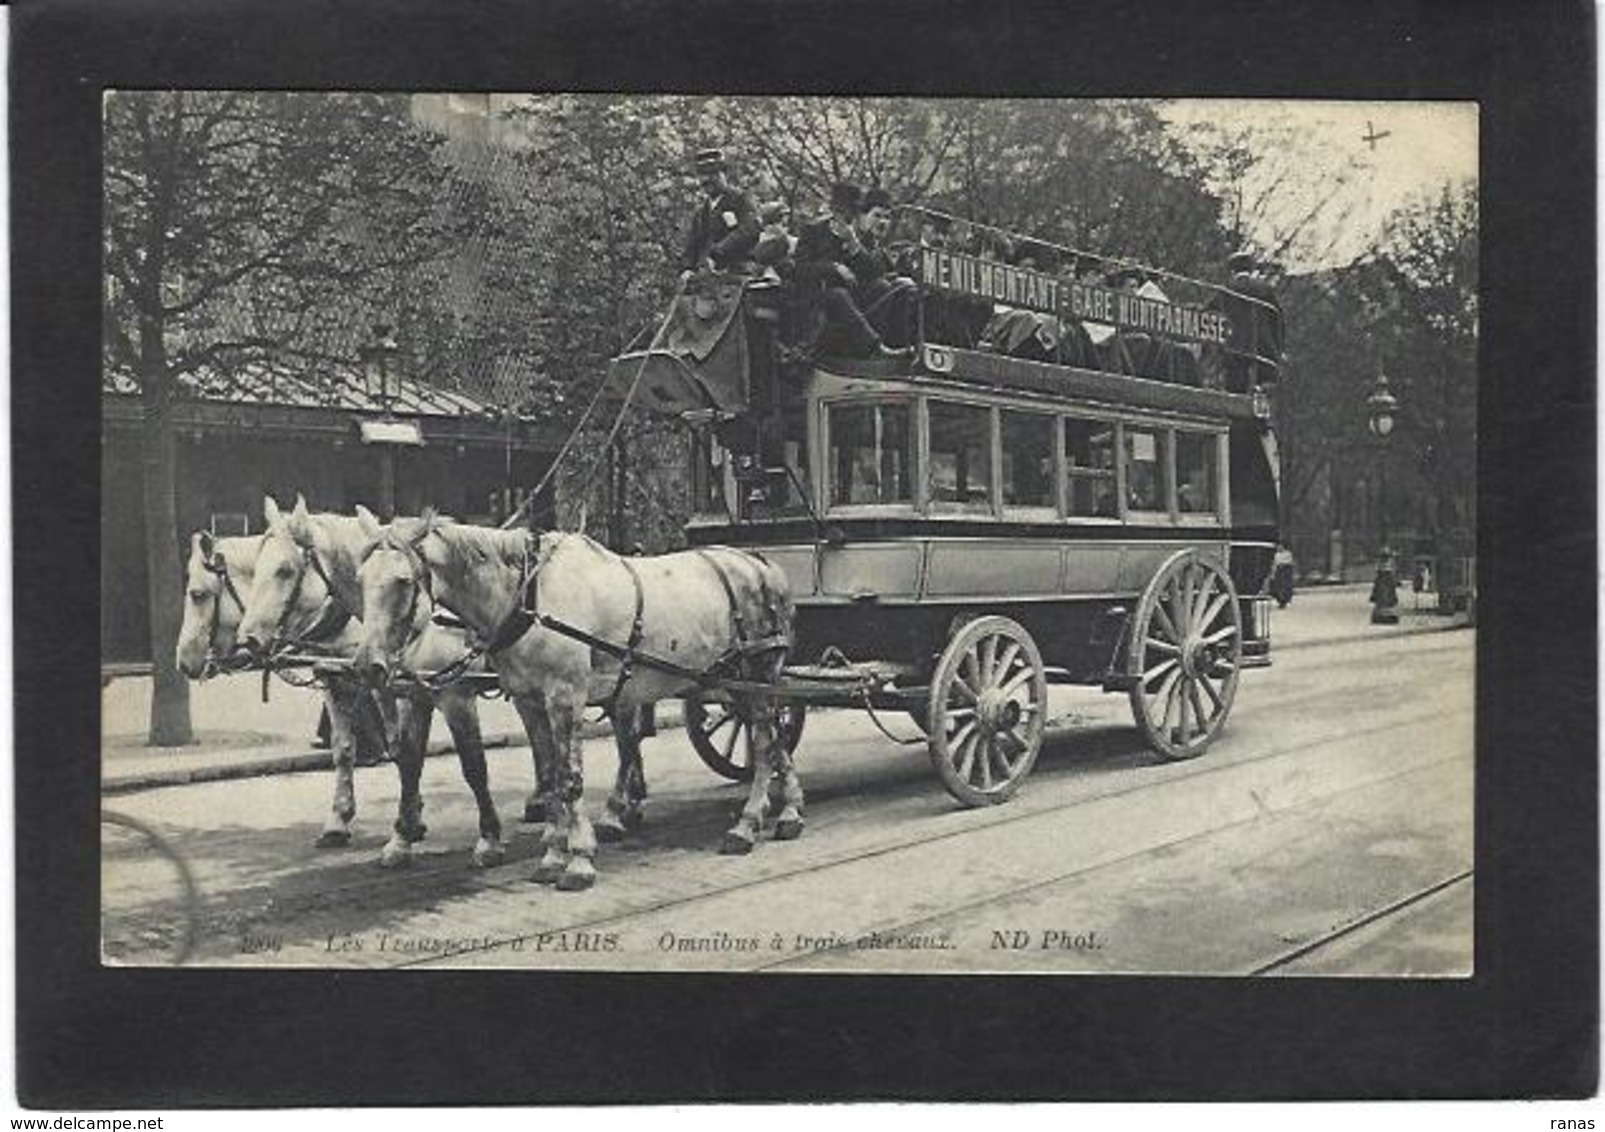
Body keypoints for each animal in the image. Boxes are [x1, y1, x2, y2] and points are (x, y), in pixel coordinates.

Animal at [231, 494, 507, 867]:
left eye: (285, 570)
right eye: (256, 568)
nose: (247, 639)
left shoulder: (455, 696)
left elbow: (473, 764)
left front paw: (487, 840)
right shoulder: (401, 693)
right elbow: (397, 758)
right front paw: (393, 832)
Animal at [354, 513, 799, 892]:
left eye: (403, 581)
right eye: (360, 578)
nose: (368, 666)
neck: (529, 598)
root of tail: (761, 564)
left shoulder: (559, 698)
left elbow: (564, 779)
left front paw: (578, 859)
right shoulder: (528, 702)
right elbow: (547, 774)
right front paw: (552, 854)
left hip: (758, 674)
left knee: (764, 743)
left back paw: (746, 824)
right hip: (736, 684)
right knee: (772, 741)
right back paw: (787, 812)